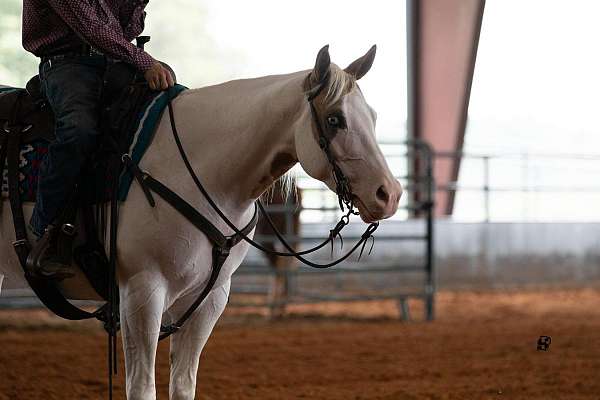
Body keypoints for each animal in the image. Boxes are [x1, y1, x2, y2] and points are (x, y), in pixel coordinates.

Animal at [1, 47, 404, 400]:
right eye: (335, 119)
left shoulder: (210, 298)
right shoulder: (142, 291)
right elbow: (142, 388)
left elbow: (183, 385)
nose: (390, 194)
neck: (199, 169)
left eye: (372, 116)